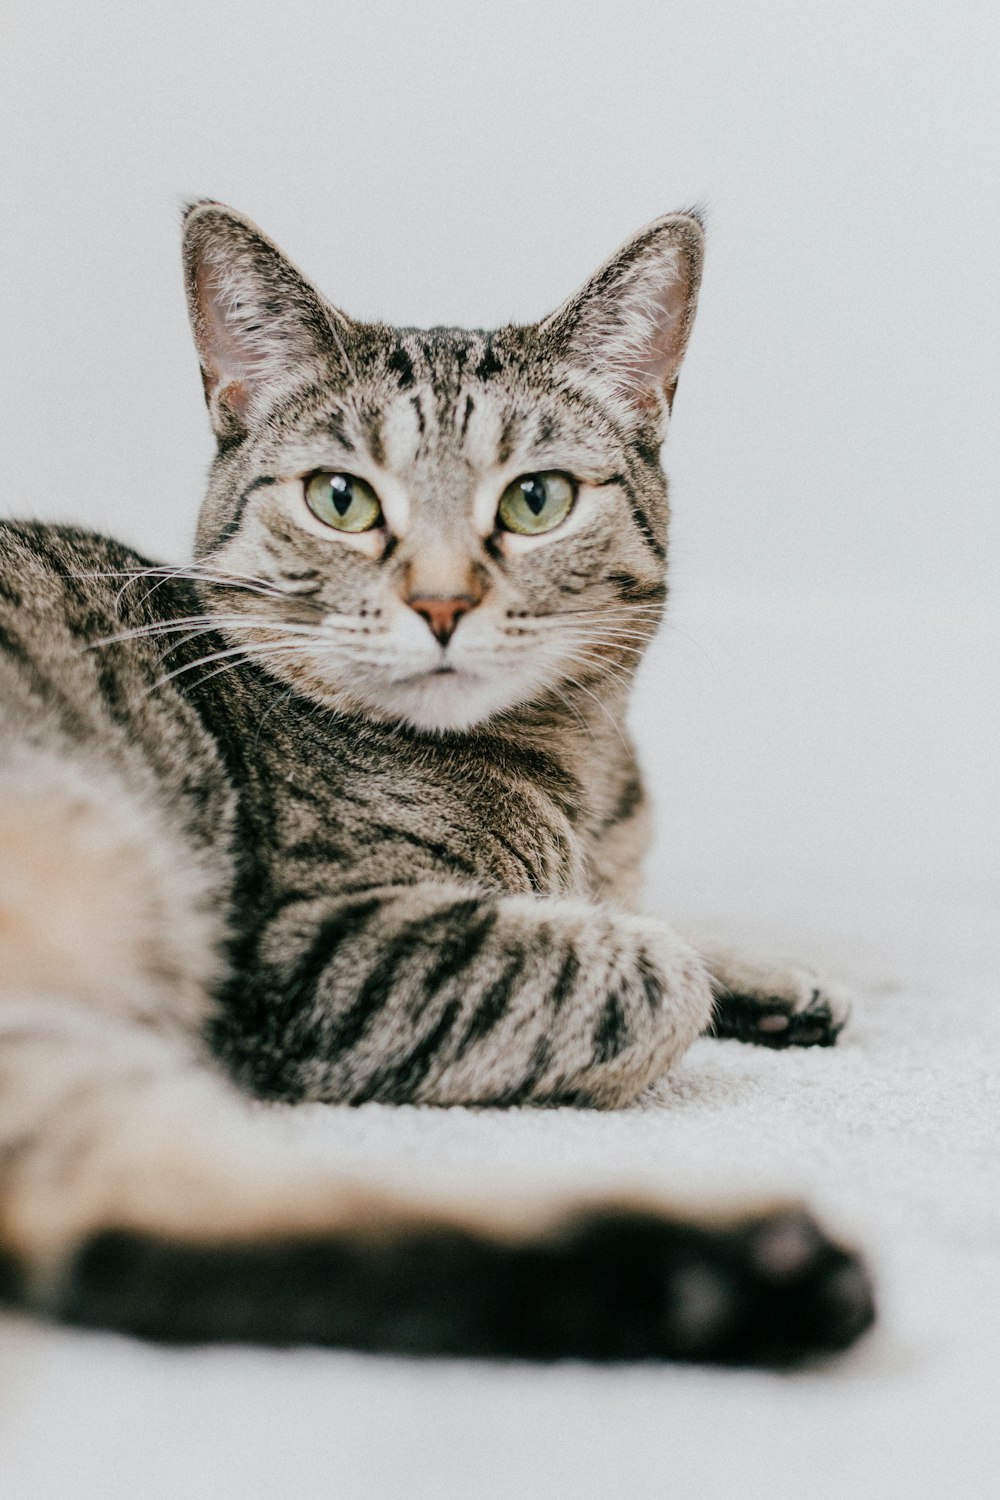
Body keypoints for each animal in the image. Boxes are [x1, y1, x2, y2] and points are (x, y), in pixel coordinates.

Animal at [0, 205, 875, 1368]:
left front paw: (774, 980)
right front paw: (689, 970)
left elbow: (645, 915)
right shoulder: (306, 949)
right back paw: (752, 1270)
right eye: (341, 498)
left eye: (537, 499)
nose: (443, 601)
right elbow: (643, 968)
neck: (573, 777)